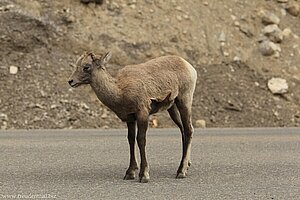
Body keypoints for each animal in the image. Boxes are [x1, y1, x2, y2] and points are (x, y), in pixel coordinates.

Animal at [68, 51, 197, 183]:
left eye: (86, 67)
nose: (71, 81)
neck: (120, 91)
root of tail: (188, 66)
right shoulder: (130, 119)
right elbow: (130, 140)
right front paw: (130, 173)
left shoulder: (142, 114)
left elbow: (140, 140)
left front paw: (144, 175)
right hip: (172, 108)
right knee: (182, 130)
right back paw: (187, 166)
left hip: (184, 101)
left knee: (188, 130)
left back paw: (181, 172)